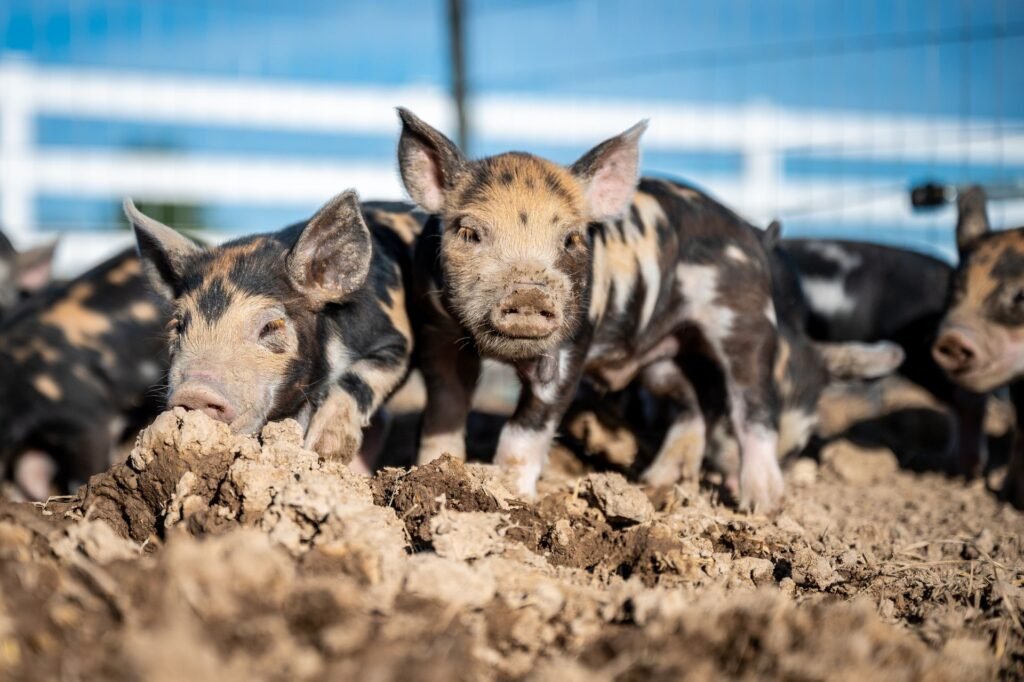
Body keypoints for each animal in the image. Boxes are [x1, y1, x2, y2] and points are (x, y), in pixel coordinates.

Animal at [125, 192, 420, 469]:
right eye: (178, 325)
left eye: (270, 327)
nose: (194, 392)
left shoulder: (395, 341)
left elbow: (358, 379)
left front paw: (325, 451)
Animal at [398, 108, 796, 510]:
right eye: (468, 233)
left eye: (572, 239)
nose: (529, 296)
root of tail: (751, 233)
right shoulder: (438, 334)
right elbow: (444, 410)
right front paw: (434, 469)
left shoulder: (571, 345)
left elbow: (524, 430)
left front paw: (516, 496)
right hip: (662, 359)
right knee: (694, 402)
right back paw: (656, 482)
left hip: (746, 321)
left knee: (754, 406)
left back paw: (760, 504)